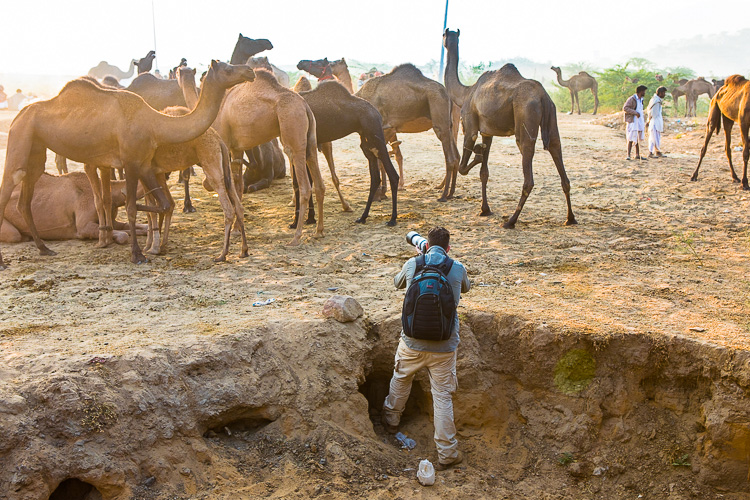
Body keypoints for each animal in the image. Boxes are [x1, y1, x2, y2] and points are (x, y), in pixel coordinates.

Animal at [212, 69, 325, 245]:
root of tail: (305, 106)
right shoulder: (236, 148)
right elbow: (238, 185)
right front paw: (237, 229)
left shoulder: (224, 139)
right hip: (311, 140)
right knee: (319, 184)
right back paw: (319, 231)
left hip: (293, 129)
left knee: (305, 187)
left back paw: (296, 236)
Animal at [355, 64, 460, 200]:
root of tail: (448, 96)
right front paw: (382, 193)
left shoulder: (383, 128)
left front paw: (379, 194)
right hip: (450, 125)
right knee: (457, 156)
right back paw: (451, 192)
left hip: (440, 116)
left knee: (450, 157)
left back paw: (443, 195)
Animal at [443, 29, 576, 228]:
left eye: (443, 36)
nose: (444, 38)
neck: (465, 92)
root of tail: (543, 96)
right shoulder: (487, 132)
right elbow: (484, 172)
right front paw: (485, 210)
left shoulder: (470, 125)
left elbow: (463, 166)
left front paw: (478, 152)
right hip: (552, 117)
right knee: (556, 150)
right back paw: (570, 218)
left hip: (525, 116)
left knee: (528, 172)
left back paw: (511, 221)